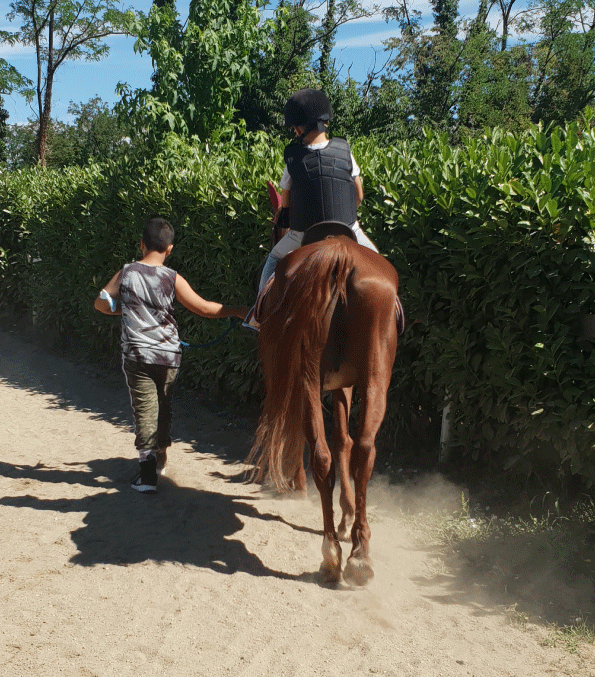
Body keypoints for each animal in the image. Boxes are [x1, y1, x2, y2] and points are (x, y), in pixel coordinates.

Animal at [247, 227, 400, 588]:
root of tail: (339, 257)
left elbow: (330, 438)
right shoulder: (342, 384)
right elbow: (342, 441)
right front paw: (346, 515)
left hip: (310, 379)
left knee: (324, 451)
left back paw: (335, 552)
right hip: (372, 379)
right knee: (359, 450)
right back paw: (355, 553)